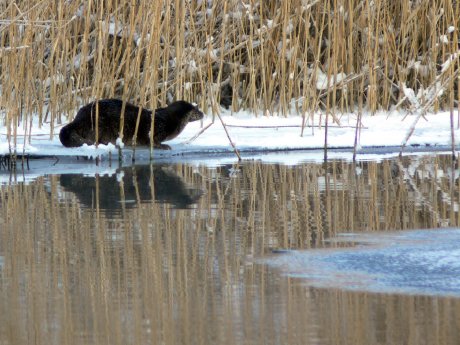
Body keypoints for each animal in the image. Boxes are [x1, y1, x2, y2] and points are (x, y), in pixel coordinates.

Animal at [59, 98, 203, 149]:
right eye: (196, 110)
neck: (168, 120)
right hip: (99, 125)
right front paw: (163, 146)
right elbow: (151, 140)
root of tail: (78, 119)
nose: (203, 114)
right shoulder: (155, 129)